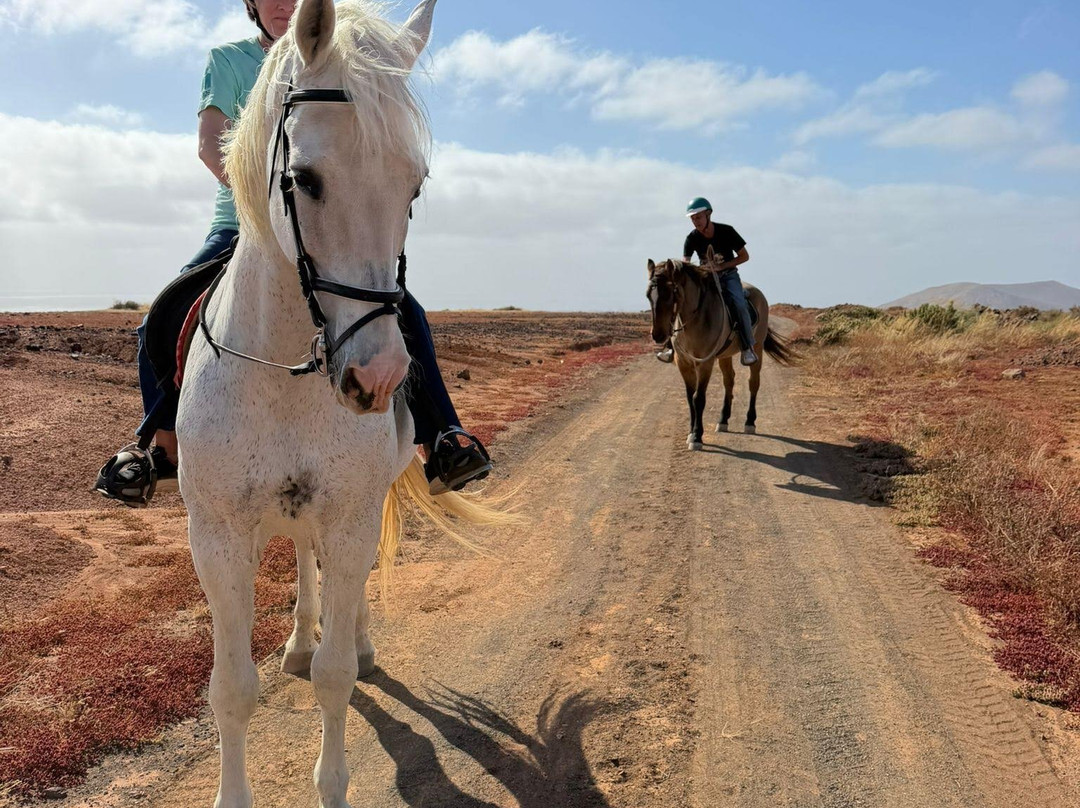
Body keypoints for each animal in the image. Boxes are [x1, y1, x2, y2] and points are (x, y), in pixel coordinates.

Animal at [646, 247, 796, 450]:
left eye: (669, 293)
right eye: (648, 295)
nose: (658, 335)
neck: (695, 319)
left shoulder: (706, 363)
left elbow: (699, 398)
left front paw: (697, 437)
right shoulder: (684, 363)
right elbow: (689, 397)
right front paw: (691, 432)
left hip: (756, 349)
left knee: (753, 383)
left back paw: (750, 422)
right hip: (725, 355)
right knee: (729, 381)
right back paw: (723, 419)